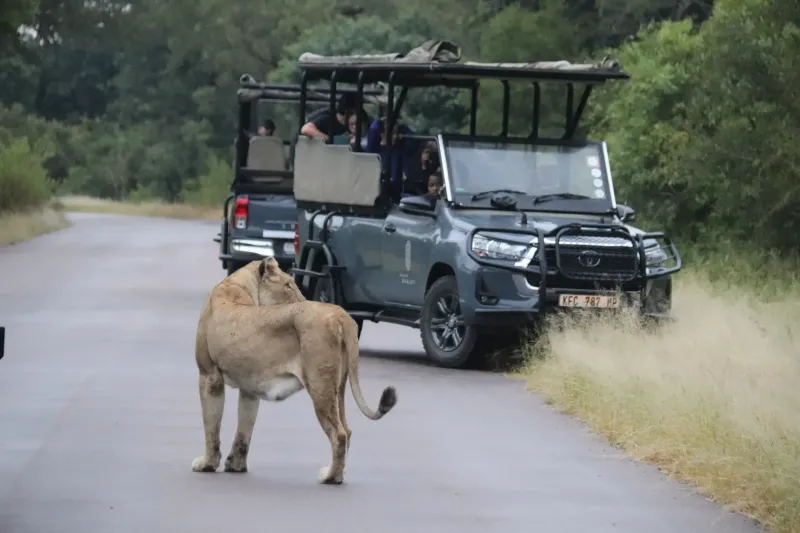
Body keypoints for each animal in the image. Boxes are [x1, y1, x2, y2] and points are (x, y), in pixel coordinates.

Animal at [191, 256, 397, 484]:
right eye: (288, 285)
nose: (302, 298)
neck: (238, 285)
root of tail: (340, 314)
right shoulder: (249, 387)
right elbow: (244, 429)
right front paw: (236, 465)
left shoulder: (209, 376)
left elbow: (211, 425)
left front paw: (207, 464)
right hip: (339, 387)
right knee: (348, 430)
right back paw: (337, 473)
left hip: (319, 385)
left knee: (339, 434)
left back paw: (330, 477)